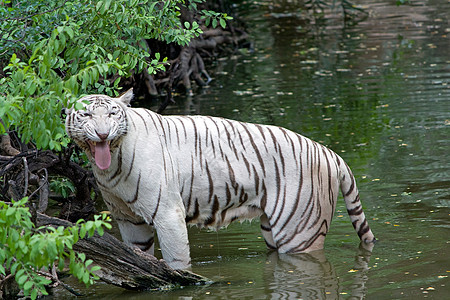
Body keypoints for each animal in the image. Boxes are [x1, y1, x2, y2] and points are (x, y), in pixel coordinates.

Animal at [65, 89, 376, 270]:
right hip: (272, 228)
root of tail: (330, 153)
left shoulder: (167, 212)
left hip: (300, 232)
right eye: (87, 114)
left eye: (112, 114)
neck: (111, 165)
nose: (103, 134)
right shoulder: (128, 219)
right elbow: (137, 254)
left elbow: (177, 259)